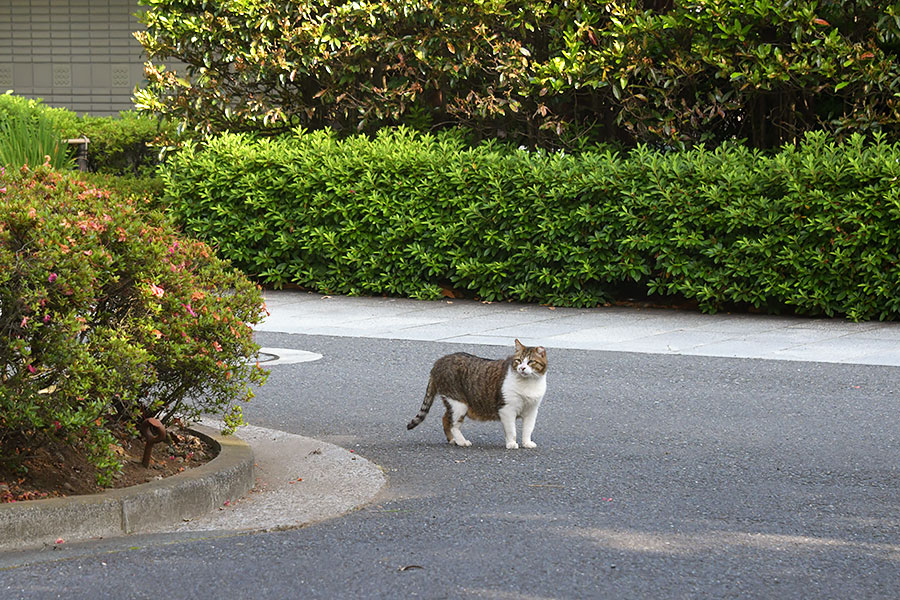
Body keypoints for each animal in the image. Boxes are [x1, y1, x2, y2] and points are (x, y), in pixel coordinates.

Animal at [408, 340, 548, 448]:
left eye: (531, 362)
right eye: (518, 360)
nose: (522, 368)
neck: (528, 384)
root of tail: (439, 362)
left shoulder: (532, 410)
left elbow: (528, 429)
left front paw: (527, 443)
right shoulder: (507, 409)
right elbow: (511, 430)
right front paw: (511, 444)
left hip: (455, 404)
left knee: (445, 419)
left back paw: (453, 440)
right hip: (459, 403)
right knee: (453, 424)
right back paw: (461, 441)